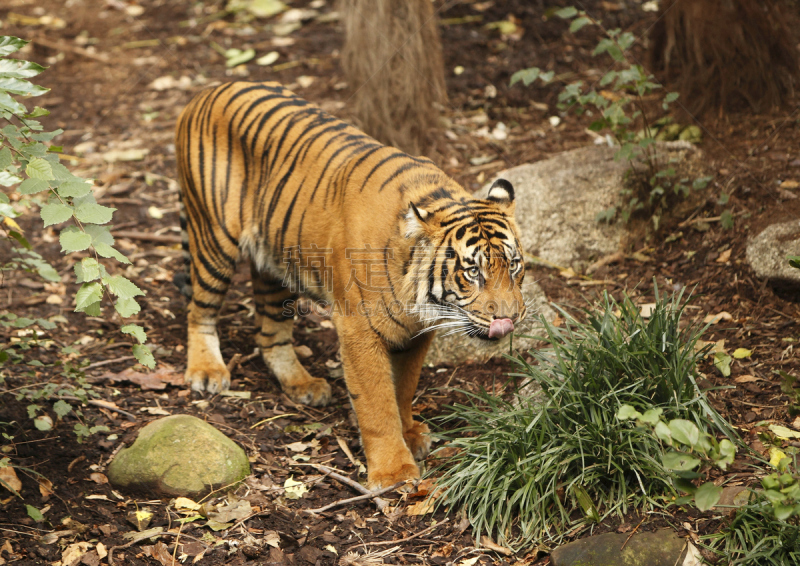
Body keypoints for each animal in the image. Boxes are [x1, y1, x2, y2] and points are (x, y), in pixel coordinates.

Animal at [174, 81, 524, 488]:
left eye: (514, 266)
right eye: (472, 272)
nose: (509, 319)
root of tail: (207, 89)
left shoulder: (415, 333)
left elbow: (403, 388)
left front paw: (410, 434)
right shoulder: (358, 328)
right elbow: (376, 402)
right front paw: (394, 471)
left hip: (276, 261)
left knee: (270, 334)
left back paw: (303, 385)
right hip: (214, 237)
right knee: (199, 310)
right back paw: (207, 372)